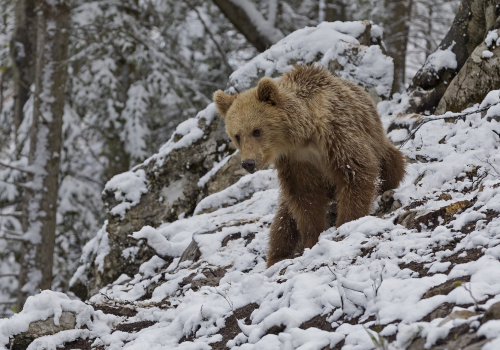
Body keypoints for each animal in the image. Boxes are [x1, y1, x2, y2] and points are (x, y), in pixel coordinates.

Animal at [213, 64, 404, 266]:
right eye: (237, 136)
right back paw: (277, 255)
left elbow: (356, 172)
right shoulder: (295, 161)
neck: (302, 135)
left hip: (377, 142)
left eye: (257, 131)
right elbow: (305, 197)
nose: (248, 163)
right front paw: (311, 239)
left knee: (391, 164)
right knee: (283, 221)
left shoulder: (336, 134)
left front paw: (346, 222)